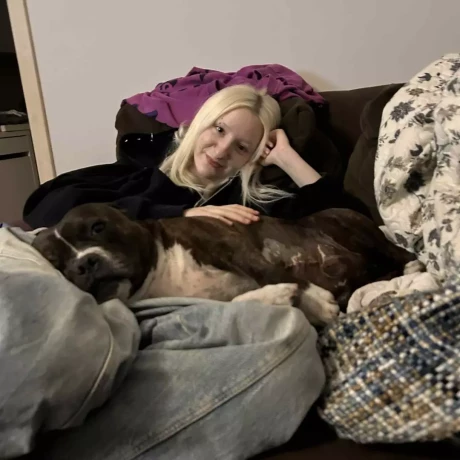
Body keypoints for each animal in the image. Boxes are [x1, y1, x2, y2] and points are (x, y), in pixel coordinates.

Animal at [32, 203, 415, 326]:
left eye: (97, 227)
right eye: (56, 262)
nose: (84, 264)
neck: (160, 269)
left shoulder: (236, 246)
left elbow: (271, 271)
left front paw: (316, 302)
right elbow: (240, 300)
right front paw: (281, 298)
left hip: (346, 224)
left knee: (399, 253)